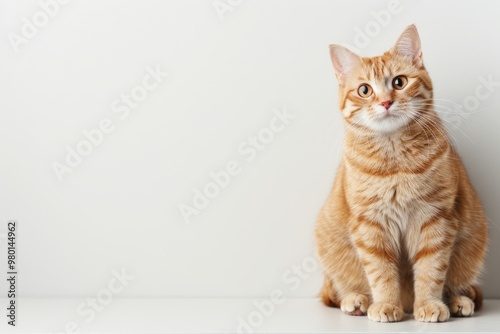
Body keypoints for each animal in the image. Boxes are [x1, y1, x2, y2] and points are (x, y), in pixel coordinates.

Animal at [316, 24, 488, 322]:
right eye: (364, 90)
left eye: (399, 82)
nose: (386, 102)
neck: (395, 159)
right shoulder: (371, 224)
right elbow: (381, 272)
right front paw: (386, 304)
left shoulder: (434, 218)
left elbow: (431, 269)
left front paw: (429, 304)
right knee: (336, 291)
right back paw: (356, 300)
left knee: (461, 284)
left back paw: (458, 301)